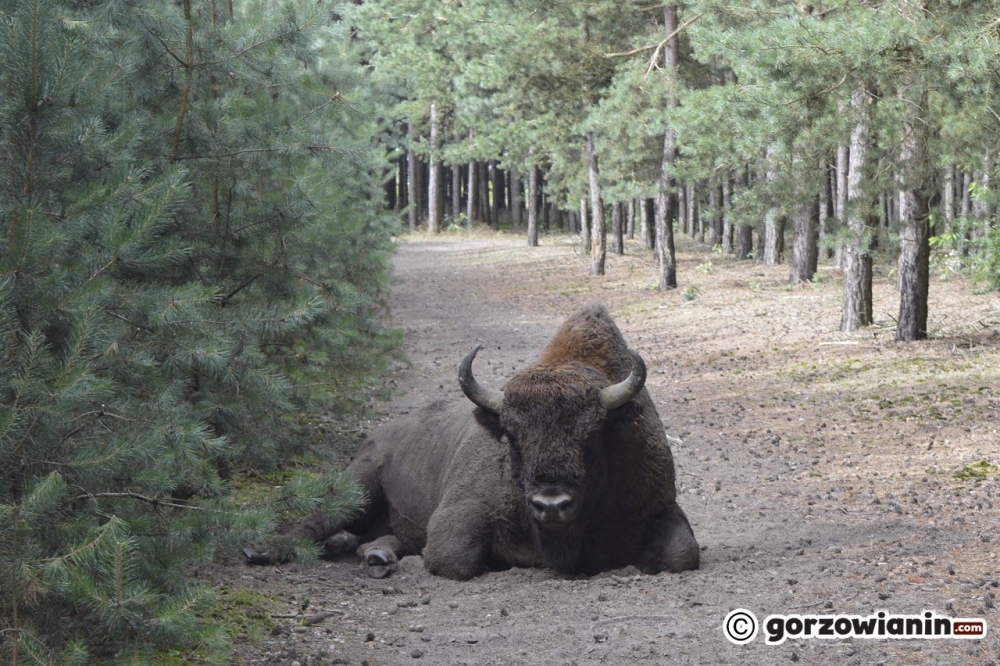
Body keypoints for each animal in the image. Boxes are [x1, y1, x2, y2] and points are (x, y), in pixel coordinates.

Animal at [249, 304, 700, 580]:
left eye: (592, 434)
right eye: (511, 436)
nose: (551, 504)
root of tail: (378, 434)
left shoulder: (658, 505)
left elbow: (683, 553)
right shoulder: (460, 511)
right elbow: (453, 557)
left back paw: (378, 555)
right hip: (357, 483)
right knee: (315, 521)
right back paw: (261, 550)